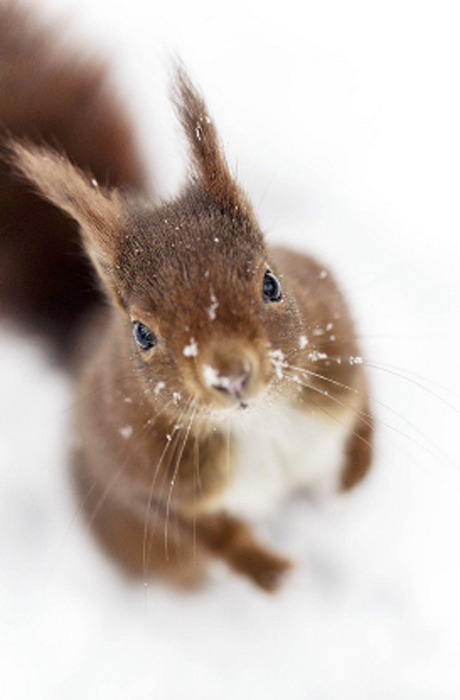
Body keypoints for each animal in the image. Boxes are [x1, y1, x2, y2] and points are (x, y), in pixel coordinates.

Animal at [0, 1, 373, 591]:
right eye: (142, 333)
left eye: (271, 283)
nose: (231, 376)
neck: (256, 420)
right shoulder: (138, 475)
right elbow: (210, 535)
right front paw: (275, 575)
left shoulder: (333, 324)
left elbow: (363, 410)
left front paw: (353, 482)